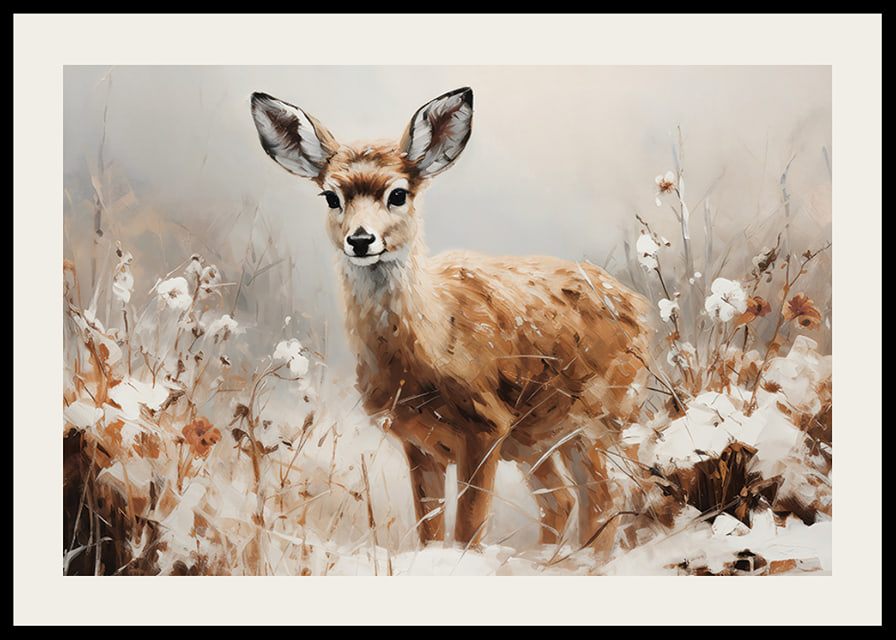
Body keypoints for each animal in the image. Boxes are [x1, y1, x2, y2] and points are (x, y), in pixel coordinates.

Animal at [250, 87, 651, 557]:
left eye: (399, 194)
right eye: (331, 196)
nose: (361, 239)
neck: (430, 345)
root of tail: (640, 308)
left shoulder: (486, 424)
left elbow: (468, 528)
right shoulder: (418, 441)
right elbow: (430, 528)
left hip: (601, 415)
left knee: (607, 496)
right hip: (538, 438)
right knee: (565, 498)